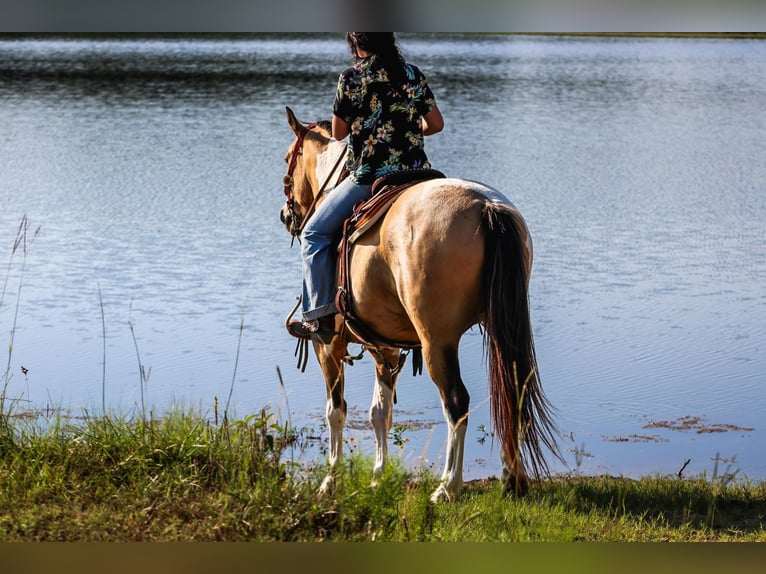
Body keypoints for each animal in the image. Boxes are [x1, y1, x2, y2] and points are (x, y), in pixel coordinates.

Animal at [279, 106, 560, 502]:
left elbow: (336, 411)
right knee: (512, 393)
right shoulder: (386, 347)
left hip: (436, 341)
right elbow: (379, 412)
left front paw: (329, 481)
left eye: (287, 158)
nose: (285, 215)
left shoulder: (328, 345)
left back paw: (448, 486)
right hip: (502, 327)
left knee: (456, 403)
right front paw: (378, 477)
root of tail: (486, 208)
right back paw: (512, 478)